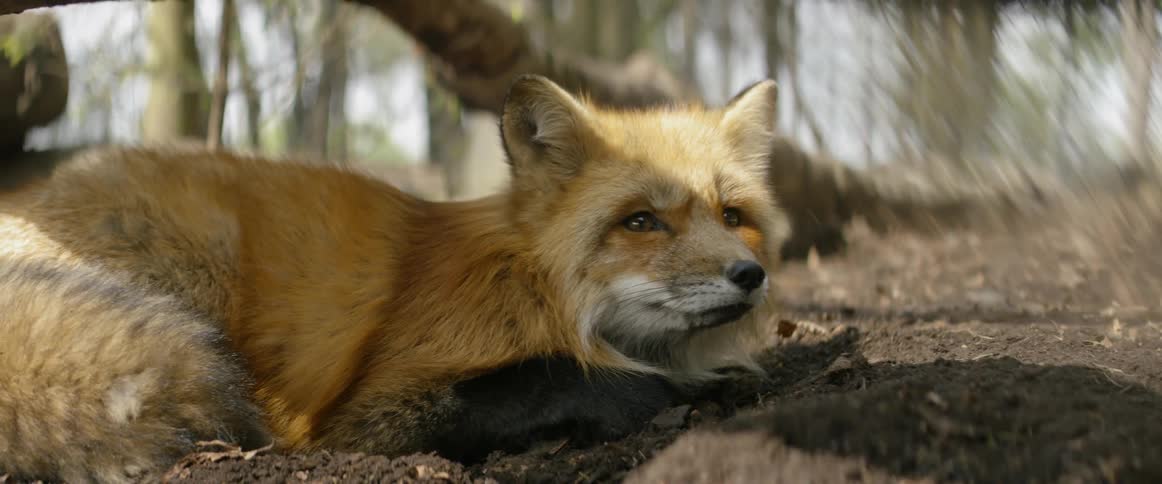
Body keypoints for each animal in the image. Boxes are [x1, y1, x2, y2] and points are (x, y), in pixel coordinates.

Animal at [0, 74, 790, 482]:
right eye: (642, 222)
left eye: (732, 215)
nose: (748, 275)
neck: (534, 285)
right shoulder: (374, 412)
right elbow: (568, 379)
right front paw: (682, 387)